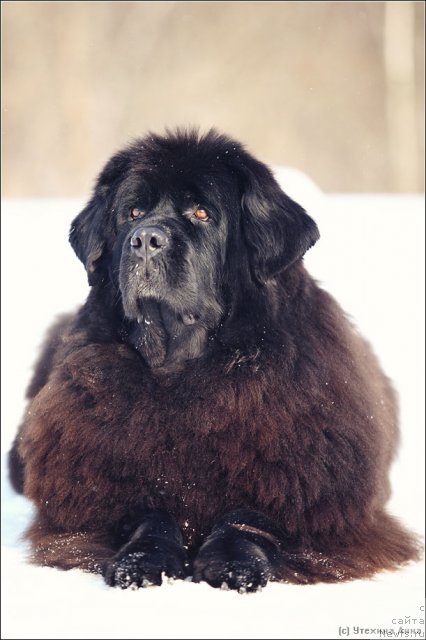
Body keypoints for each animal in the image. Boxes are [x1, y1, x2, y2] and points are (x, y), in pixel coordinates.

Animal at [7, 129, 420, 592]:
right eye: (133, 212)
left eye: (202, 213)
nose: (146, 239)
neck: (182, 371)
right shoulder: (98, 487)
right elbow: (146, 511)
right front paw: (141, 560)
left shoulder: (308, 495)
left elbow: (248, 516)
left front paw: (232, 563)